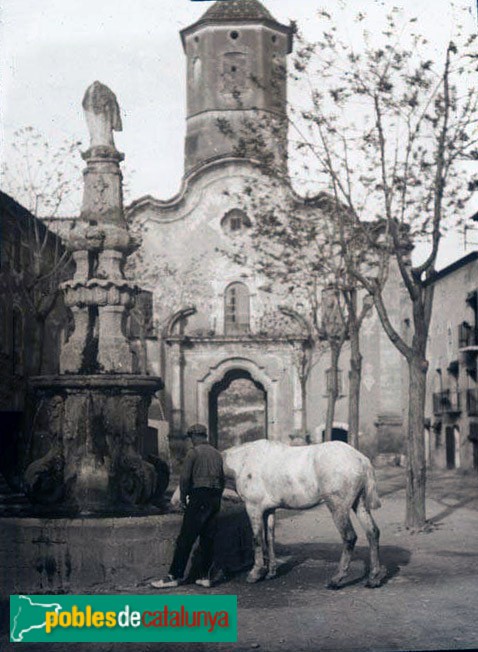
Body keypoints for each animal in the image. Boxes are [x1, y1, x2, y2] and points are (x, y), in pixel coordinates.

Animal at [171, 440, 384, 588]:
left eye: (187, 471)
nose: (174, 501)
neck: (244, 462)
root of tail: (361, 459)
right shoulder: (269, 511)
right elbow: (269, 538)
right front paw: (271, 572)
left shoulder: (254, 509)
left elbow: (257, 539)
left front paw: (255, 573)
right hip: (359, 504)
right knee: (372, 532)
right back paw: (373, 578)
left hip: (338, 507)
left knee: (349, 537)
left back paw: (337, 579)